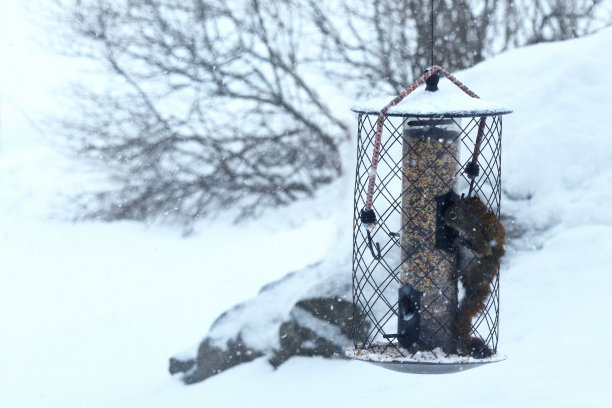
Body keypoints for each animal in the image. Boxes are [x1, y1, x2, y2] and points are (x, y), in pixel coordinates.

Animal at [442, 196, 504, 358]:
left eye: (453, 215)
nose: (443, 218)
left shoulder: (480, 237)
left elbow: (481, 248)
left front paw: (464, 242)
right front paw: (457, 240)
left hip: (478, 267)